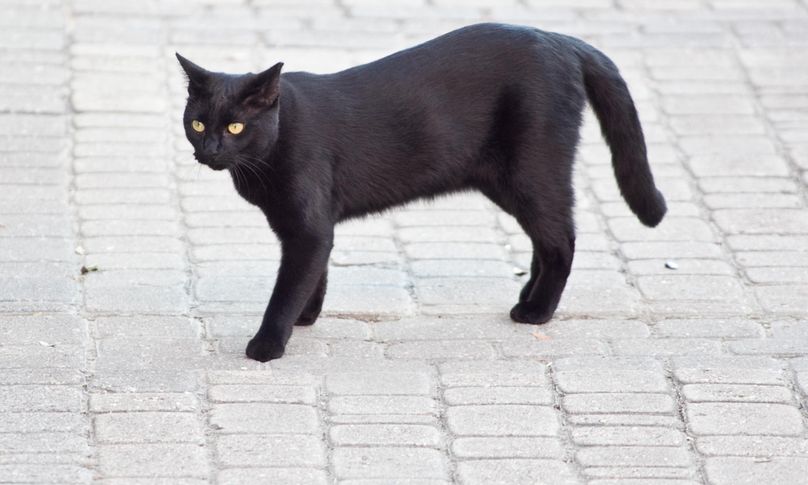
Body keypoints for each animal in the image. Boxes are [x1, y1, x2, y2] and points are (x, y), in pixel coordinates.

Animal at [177, 23, 666, 362]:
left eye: (235, 127)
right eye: (197, 123)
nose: (210, 150)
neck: (268, 151)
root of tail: (561, 40)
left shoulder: (308, 227)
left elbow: (288, 286)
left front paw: (269, 342)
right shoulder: (307, 229)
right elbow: (314, 276)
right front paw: (305, 317)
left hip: (531, 173)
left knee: (561, 240)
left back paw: (537, 312)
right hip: (513, 183)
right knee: (545, 240)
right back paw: (528, 297)